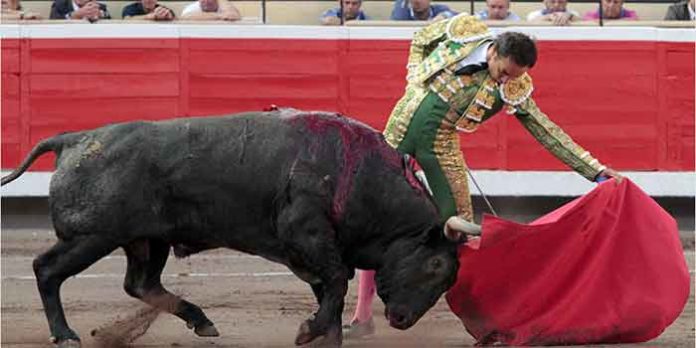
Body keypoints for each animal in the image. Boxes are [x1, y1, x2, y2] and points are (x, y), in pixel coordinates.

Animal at [0, 108, 478, 346]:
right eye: (436, 266)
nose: (402, 320)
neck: (357, 175)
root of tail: (75, 139)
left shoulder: (313, 252)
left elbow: (331, 292)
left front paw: (324, 336)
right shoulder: (307, 235)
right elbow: (338, 282)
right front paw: (309, 332)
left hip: (147, 239)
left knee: (141, 284)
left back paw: (201, 322)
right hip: (92, 237)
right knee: (47, 270)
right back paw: (64, 334)